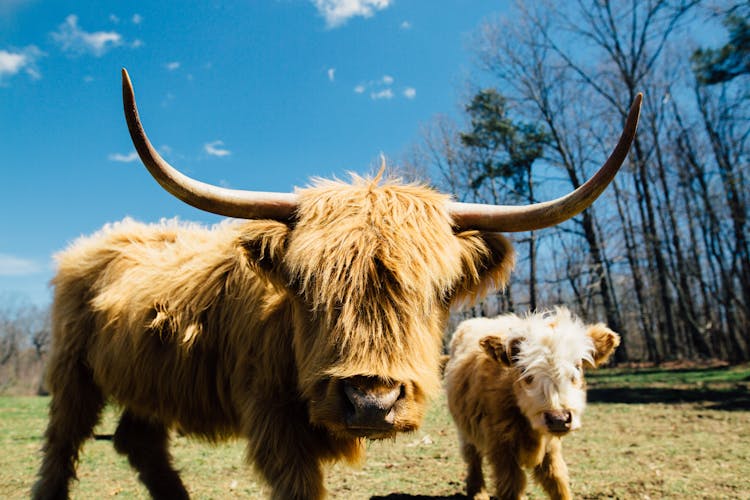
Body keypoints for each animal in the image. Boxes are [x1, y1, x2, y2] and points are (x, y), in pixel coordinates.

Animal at [446, 306, 624, 498]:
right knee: (472, 455)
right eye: (524, 369)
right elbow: (511, 487)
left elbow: (557, 481)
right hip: (465, 428)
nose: (558, 419)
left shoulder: (551, 448)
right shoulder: (501, 448)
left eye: (577, 366)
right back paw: (478, 492)